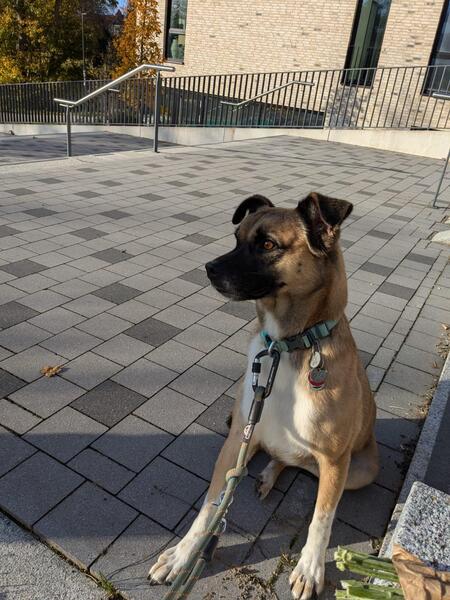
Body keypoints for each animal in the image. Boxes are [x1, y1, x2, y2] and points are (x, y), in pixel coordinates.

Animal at [149, 192, 379, 599]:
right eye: (237, 237)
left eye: (268, 245)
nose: (208, 268)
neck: (285, 348)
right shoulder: (235, 442)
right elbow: (210, 506)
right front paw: (183, 553)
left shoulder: (335, 459)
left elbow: (322, 519)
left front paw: (310, 568)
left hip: (358, 470)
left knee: (300, 465)